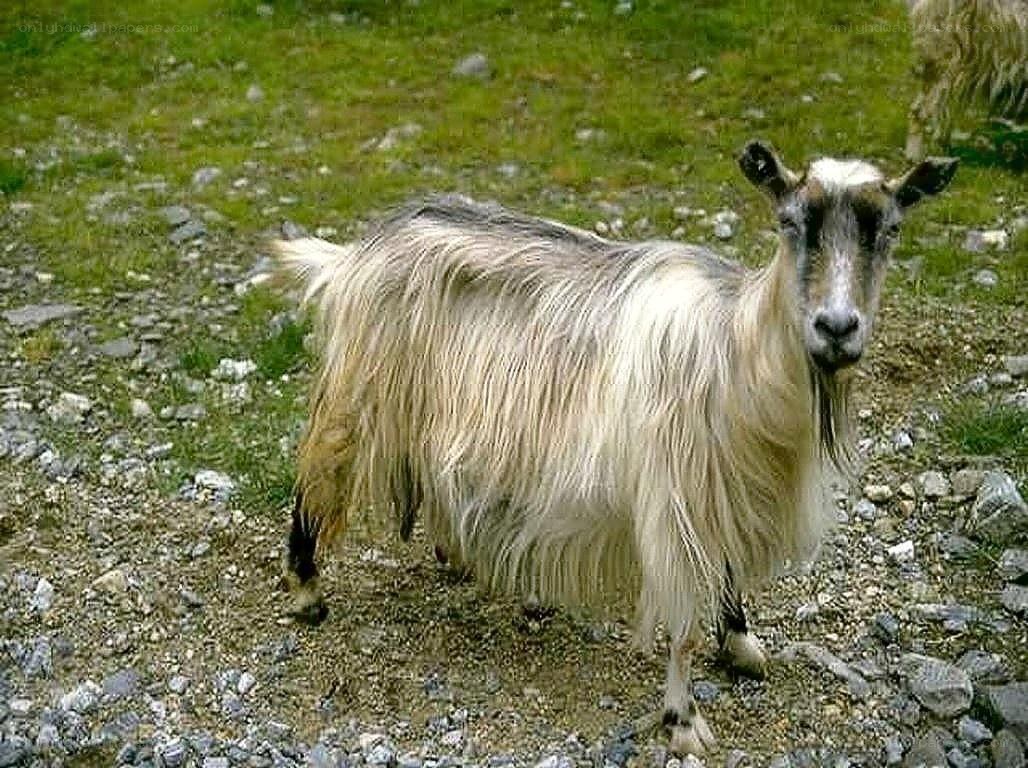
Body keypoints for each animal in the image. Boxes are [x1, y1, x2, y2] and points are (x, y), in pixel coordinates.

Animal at [275, 141, 957, 755]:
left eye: (890, 229)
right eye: (790, 223)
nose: (836, 328)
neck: (736, 346)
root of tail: (352, 256)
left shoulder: (727, 485)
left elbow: (728, 571)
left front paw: (740, 645)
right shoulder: (675, 496)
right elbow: (682, 625)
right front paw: (682, 723)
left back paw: (460, 558)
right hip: (356, 396)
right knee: (315, 481)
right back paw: (308, 592)